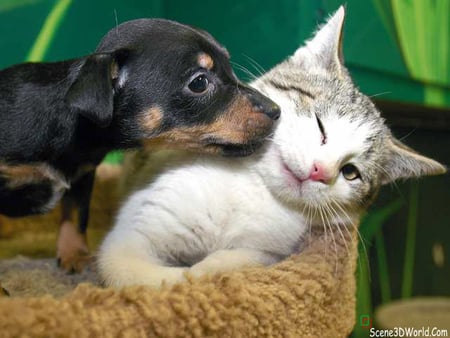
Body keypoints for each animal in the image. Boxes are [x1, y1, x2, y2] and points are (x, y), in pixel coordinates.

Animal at [0, 19, 280, 272]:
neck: (73, 127)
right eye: (199, 82)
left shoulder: (83, 176)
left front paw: (75, 255)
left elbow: (75, 216)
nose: (276, 110)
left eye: (230, 66)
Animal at [96, 7, 444, 288]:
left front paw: (207, 271)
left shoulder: (272, 249)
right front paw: (180, 279)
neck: (254, 187)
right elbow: (123, 266)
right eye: (320, 124)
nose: (320, 171)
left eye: (350, 172)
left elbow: (244, 257)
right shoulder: (142, 218)